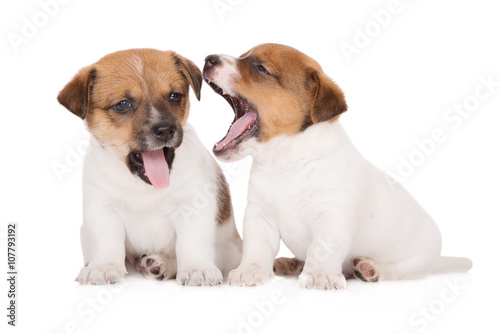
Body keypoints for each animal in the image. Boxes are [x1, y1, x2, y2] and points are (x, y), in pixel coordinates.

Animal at [58, 48, 242, 286]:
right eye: (123, 104)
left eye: (174, 96)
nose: (165, 130)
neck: (144, 186)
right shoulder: (102, 209)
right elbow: (106, 242)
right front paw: (103, 266)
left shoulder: (193, 206)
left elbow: (192, 242)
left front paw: (196, 269)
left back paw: (161, 264)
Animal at [201, 43, 470, 290]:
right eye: (243, 56)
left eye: (261, 68)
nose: (208, 59)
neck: (286, 160)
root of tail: (437, 259)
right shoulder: (259, 215)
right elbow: (257, 247)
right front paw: (250, 270)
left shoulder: (333, 216)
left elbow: (322, 248)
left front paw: (320, 275)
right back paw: (292, 264)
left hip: (413, 260)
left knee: (396, 271)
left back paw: (370, 268)